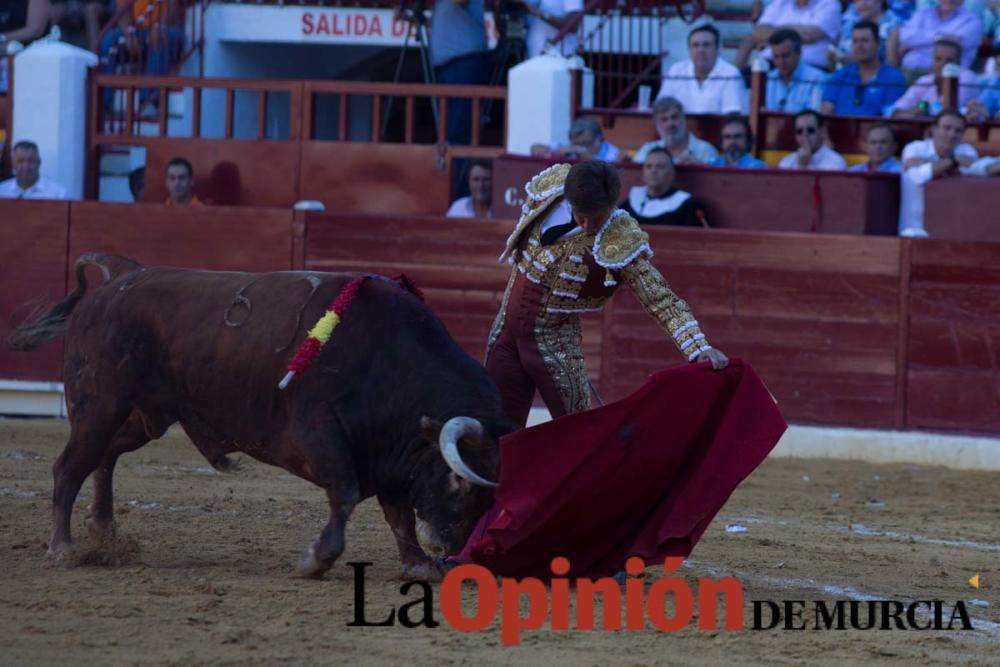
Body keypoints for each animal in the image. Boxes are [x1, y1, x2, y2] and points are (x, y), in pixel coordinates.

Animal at [3, 253, 512, 580]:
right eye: (459, 480)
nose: (448, 547)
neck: (390, 364)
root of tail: (117, 280)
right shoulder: (320, 435)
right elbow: (346, 494)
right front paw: (316, 559)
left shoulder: (390, 458)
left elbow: (399, 514)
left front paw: (418, 565)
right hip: (99, 404)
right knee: (69, 465)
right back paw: (63, 547)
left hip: (143, 415)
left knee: (104, 458)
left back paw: (105, 532)